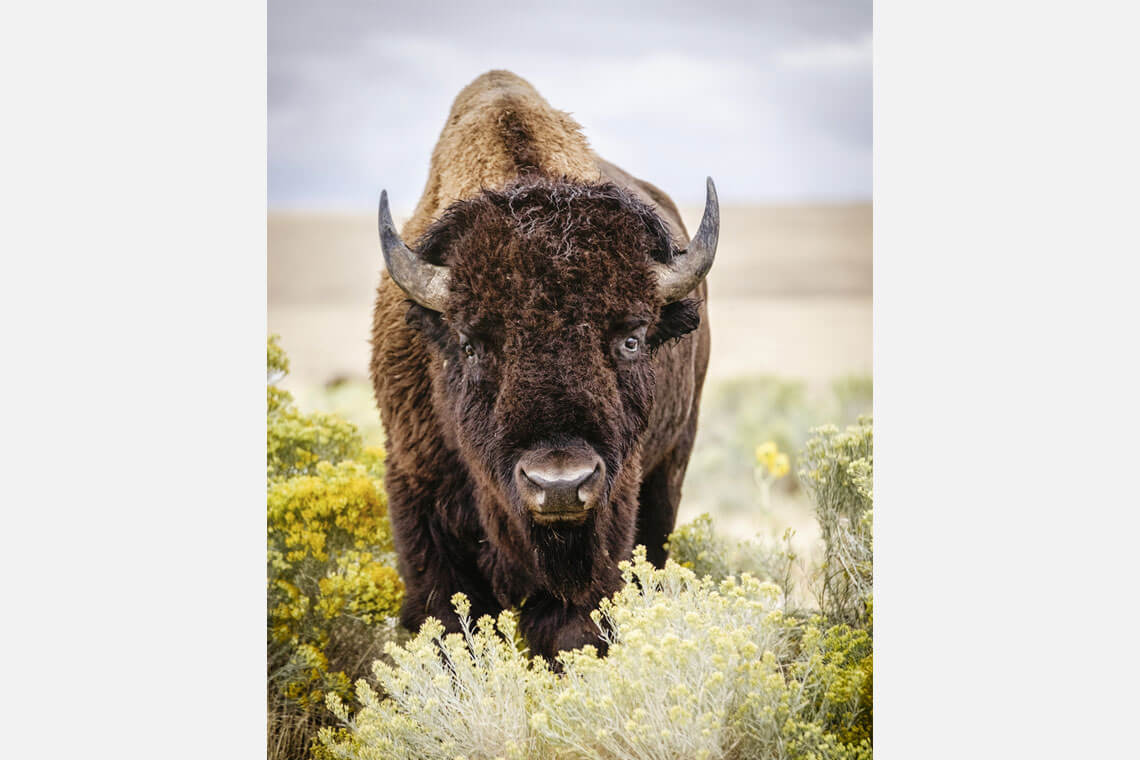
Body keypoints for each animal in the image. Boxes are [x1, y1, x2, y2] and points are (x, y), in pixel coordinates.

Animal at [369, 72, 715, 665]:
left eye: (631, 338)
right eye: (470, 344)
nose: (558, 484)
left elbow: (572, 630)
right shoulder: (419, 503)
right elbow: (447, 626)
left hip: (671, 465)